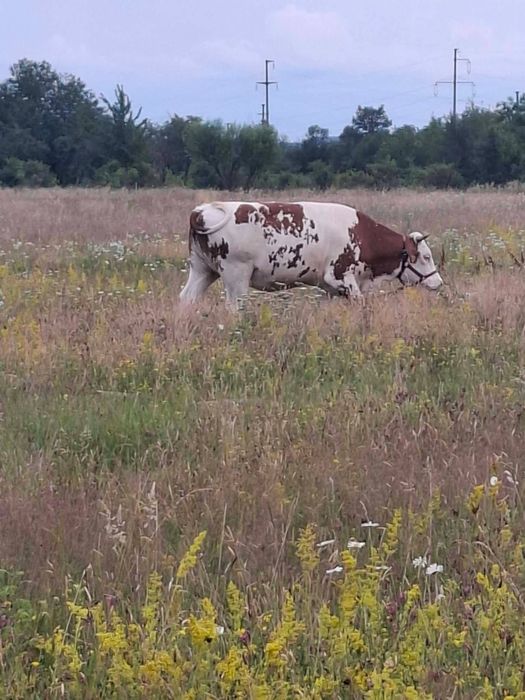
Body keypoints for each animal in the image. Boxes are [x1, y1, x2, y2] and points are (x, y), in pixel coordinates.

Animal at [179, 201, 443, 304]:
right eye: (426, 257)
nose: (438, 283)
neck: (363, 234)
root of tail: (201, 211)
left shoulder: (329, 289)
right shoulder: (341, 277)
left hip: (203, 271)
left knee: (187, 299)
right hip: (236, 276)